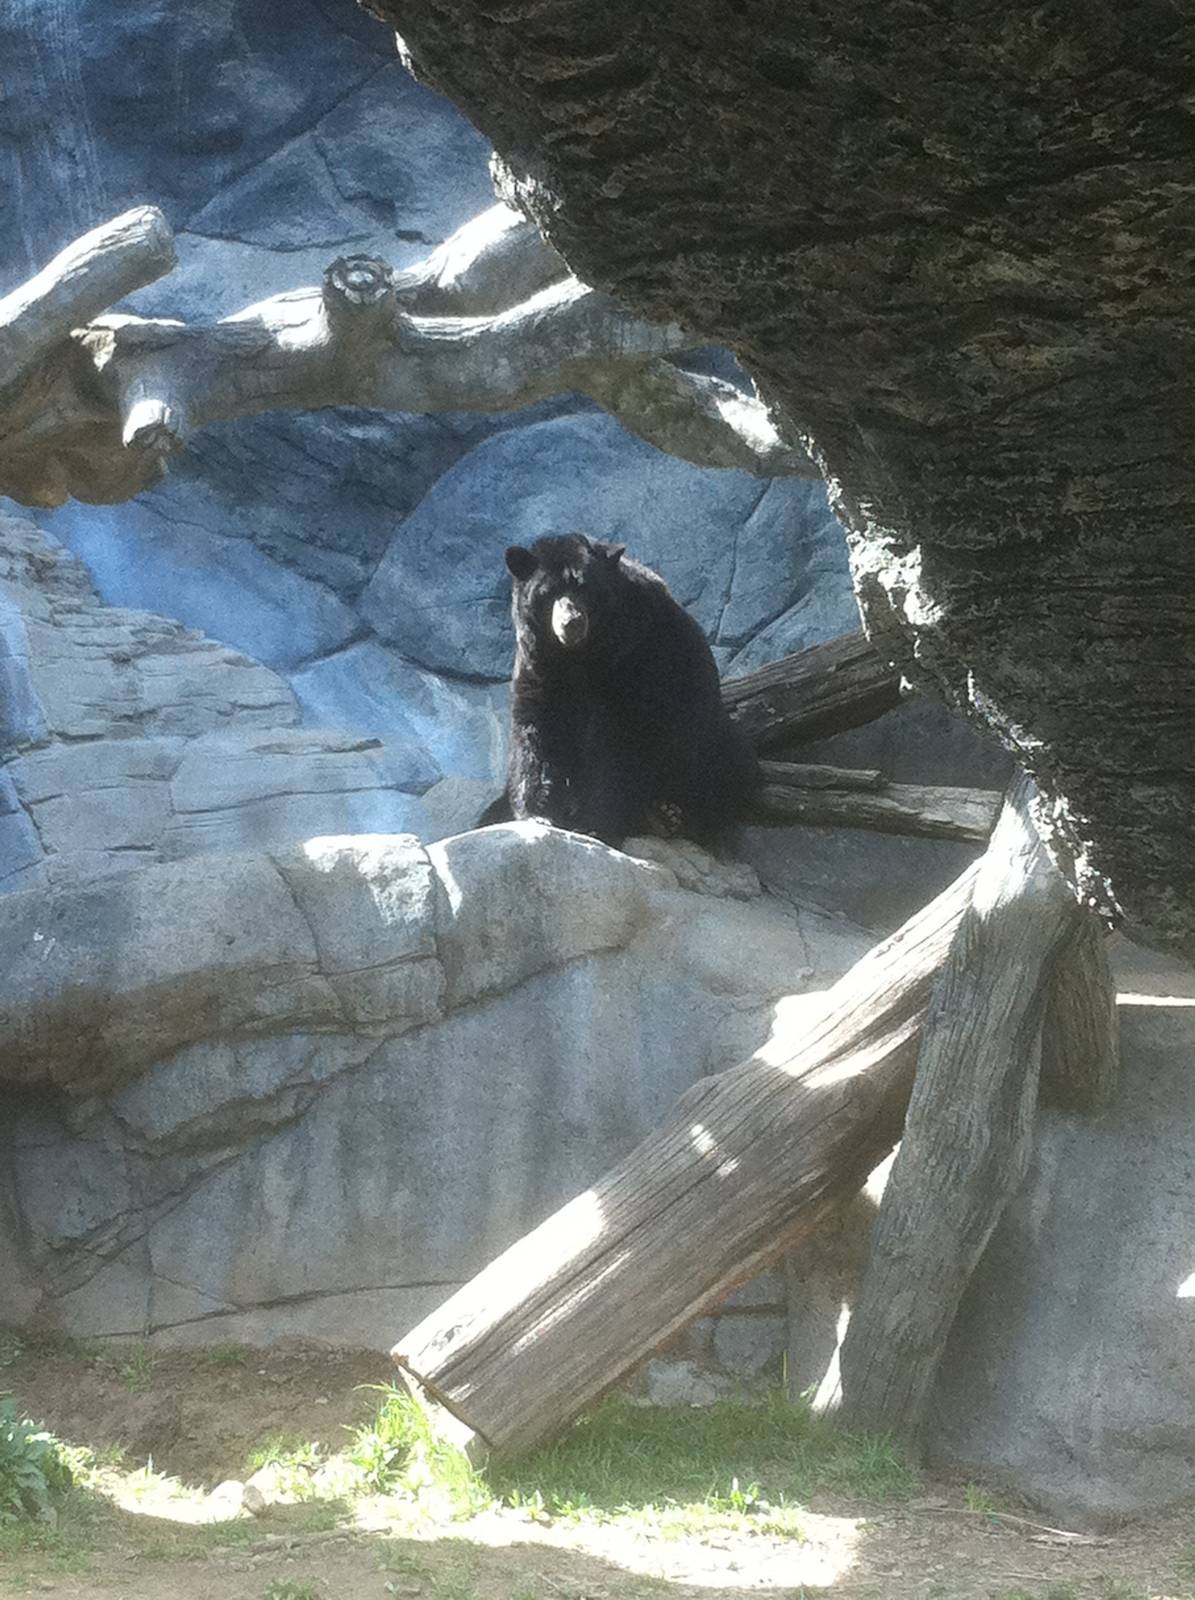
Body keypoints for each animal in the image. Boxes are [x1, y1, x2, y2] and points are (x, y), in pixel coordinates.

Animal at [480, 532, 759, 848]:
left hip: (708, 739)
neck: (579, 656)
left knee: (728, 771)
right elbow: (538, 728)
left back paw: (670, 816)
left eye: (585, 589)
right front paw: (538, 813)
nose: (571, 622)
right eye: (547, 593)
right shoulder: (541, 665)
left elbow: (622, 741)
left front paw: (597, 823)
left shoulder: (634, 659)